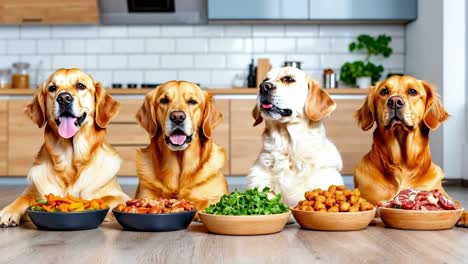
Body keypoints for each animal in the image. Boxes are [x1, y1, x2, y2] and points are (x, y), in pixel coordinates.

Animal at [0, 68, 128, 227]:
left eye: (80, 85)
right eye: (52, 88)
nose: (64, 98)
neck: (71, 161)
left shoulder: (121, 196)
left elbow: (102, 198)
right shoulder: (33, 190)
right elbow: (24, 197)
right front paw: (8, 211)